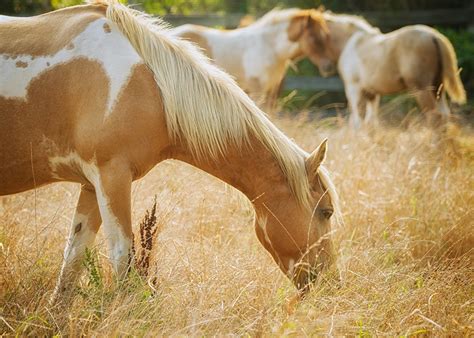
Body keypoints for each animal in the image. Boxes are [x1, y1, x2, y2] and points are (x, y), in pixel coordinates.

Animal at [168, 8, 332, 109]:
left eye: (326, 36)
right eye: (314, 37)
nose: (328, 67)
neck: (270, 46)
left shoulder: (271, 91)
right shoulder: (256, 88)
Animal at [306, 12, 464, 127]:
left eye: (314, 37)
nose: (326, 67)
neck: (351, 42)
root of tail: (433, 36)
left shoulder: (353, 88)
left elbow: (357, 121)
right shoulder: (371, 93)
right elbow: (370, 122)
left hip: (422, 89)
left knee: (434, 117)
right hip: (438, 87)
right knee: (445, 116)